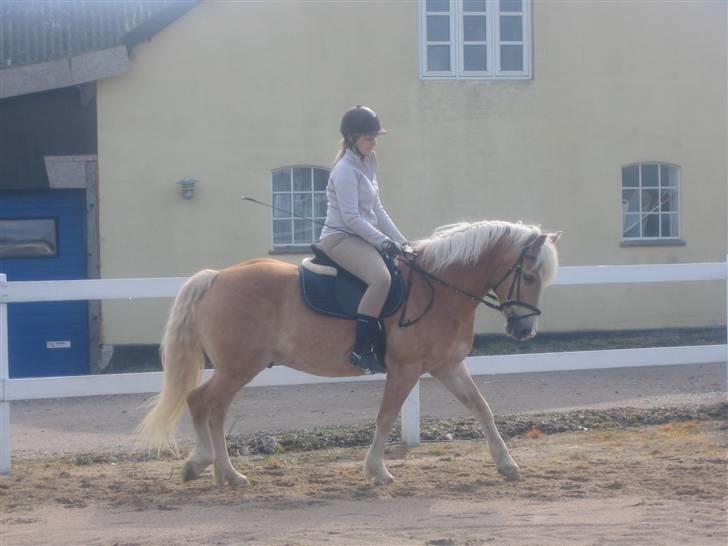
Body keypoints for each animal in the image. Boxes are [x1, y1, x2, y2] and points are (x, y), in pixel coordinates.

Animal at [141, 219, 564, 486]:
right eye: (528, 275)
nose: (524, 331)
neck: (440, 289)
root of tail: (216, 277)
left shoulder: (447, 366)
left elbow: (483, 408)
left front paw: (507, 465)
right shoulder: (406, 368)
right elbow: (386, 417)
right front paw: (378, 471)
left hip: (238, 369)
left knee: (216, 412)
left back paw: (229, 475)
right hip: (238, 367)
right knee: (199, 402)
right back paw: (200, 463)